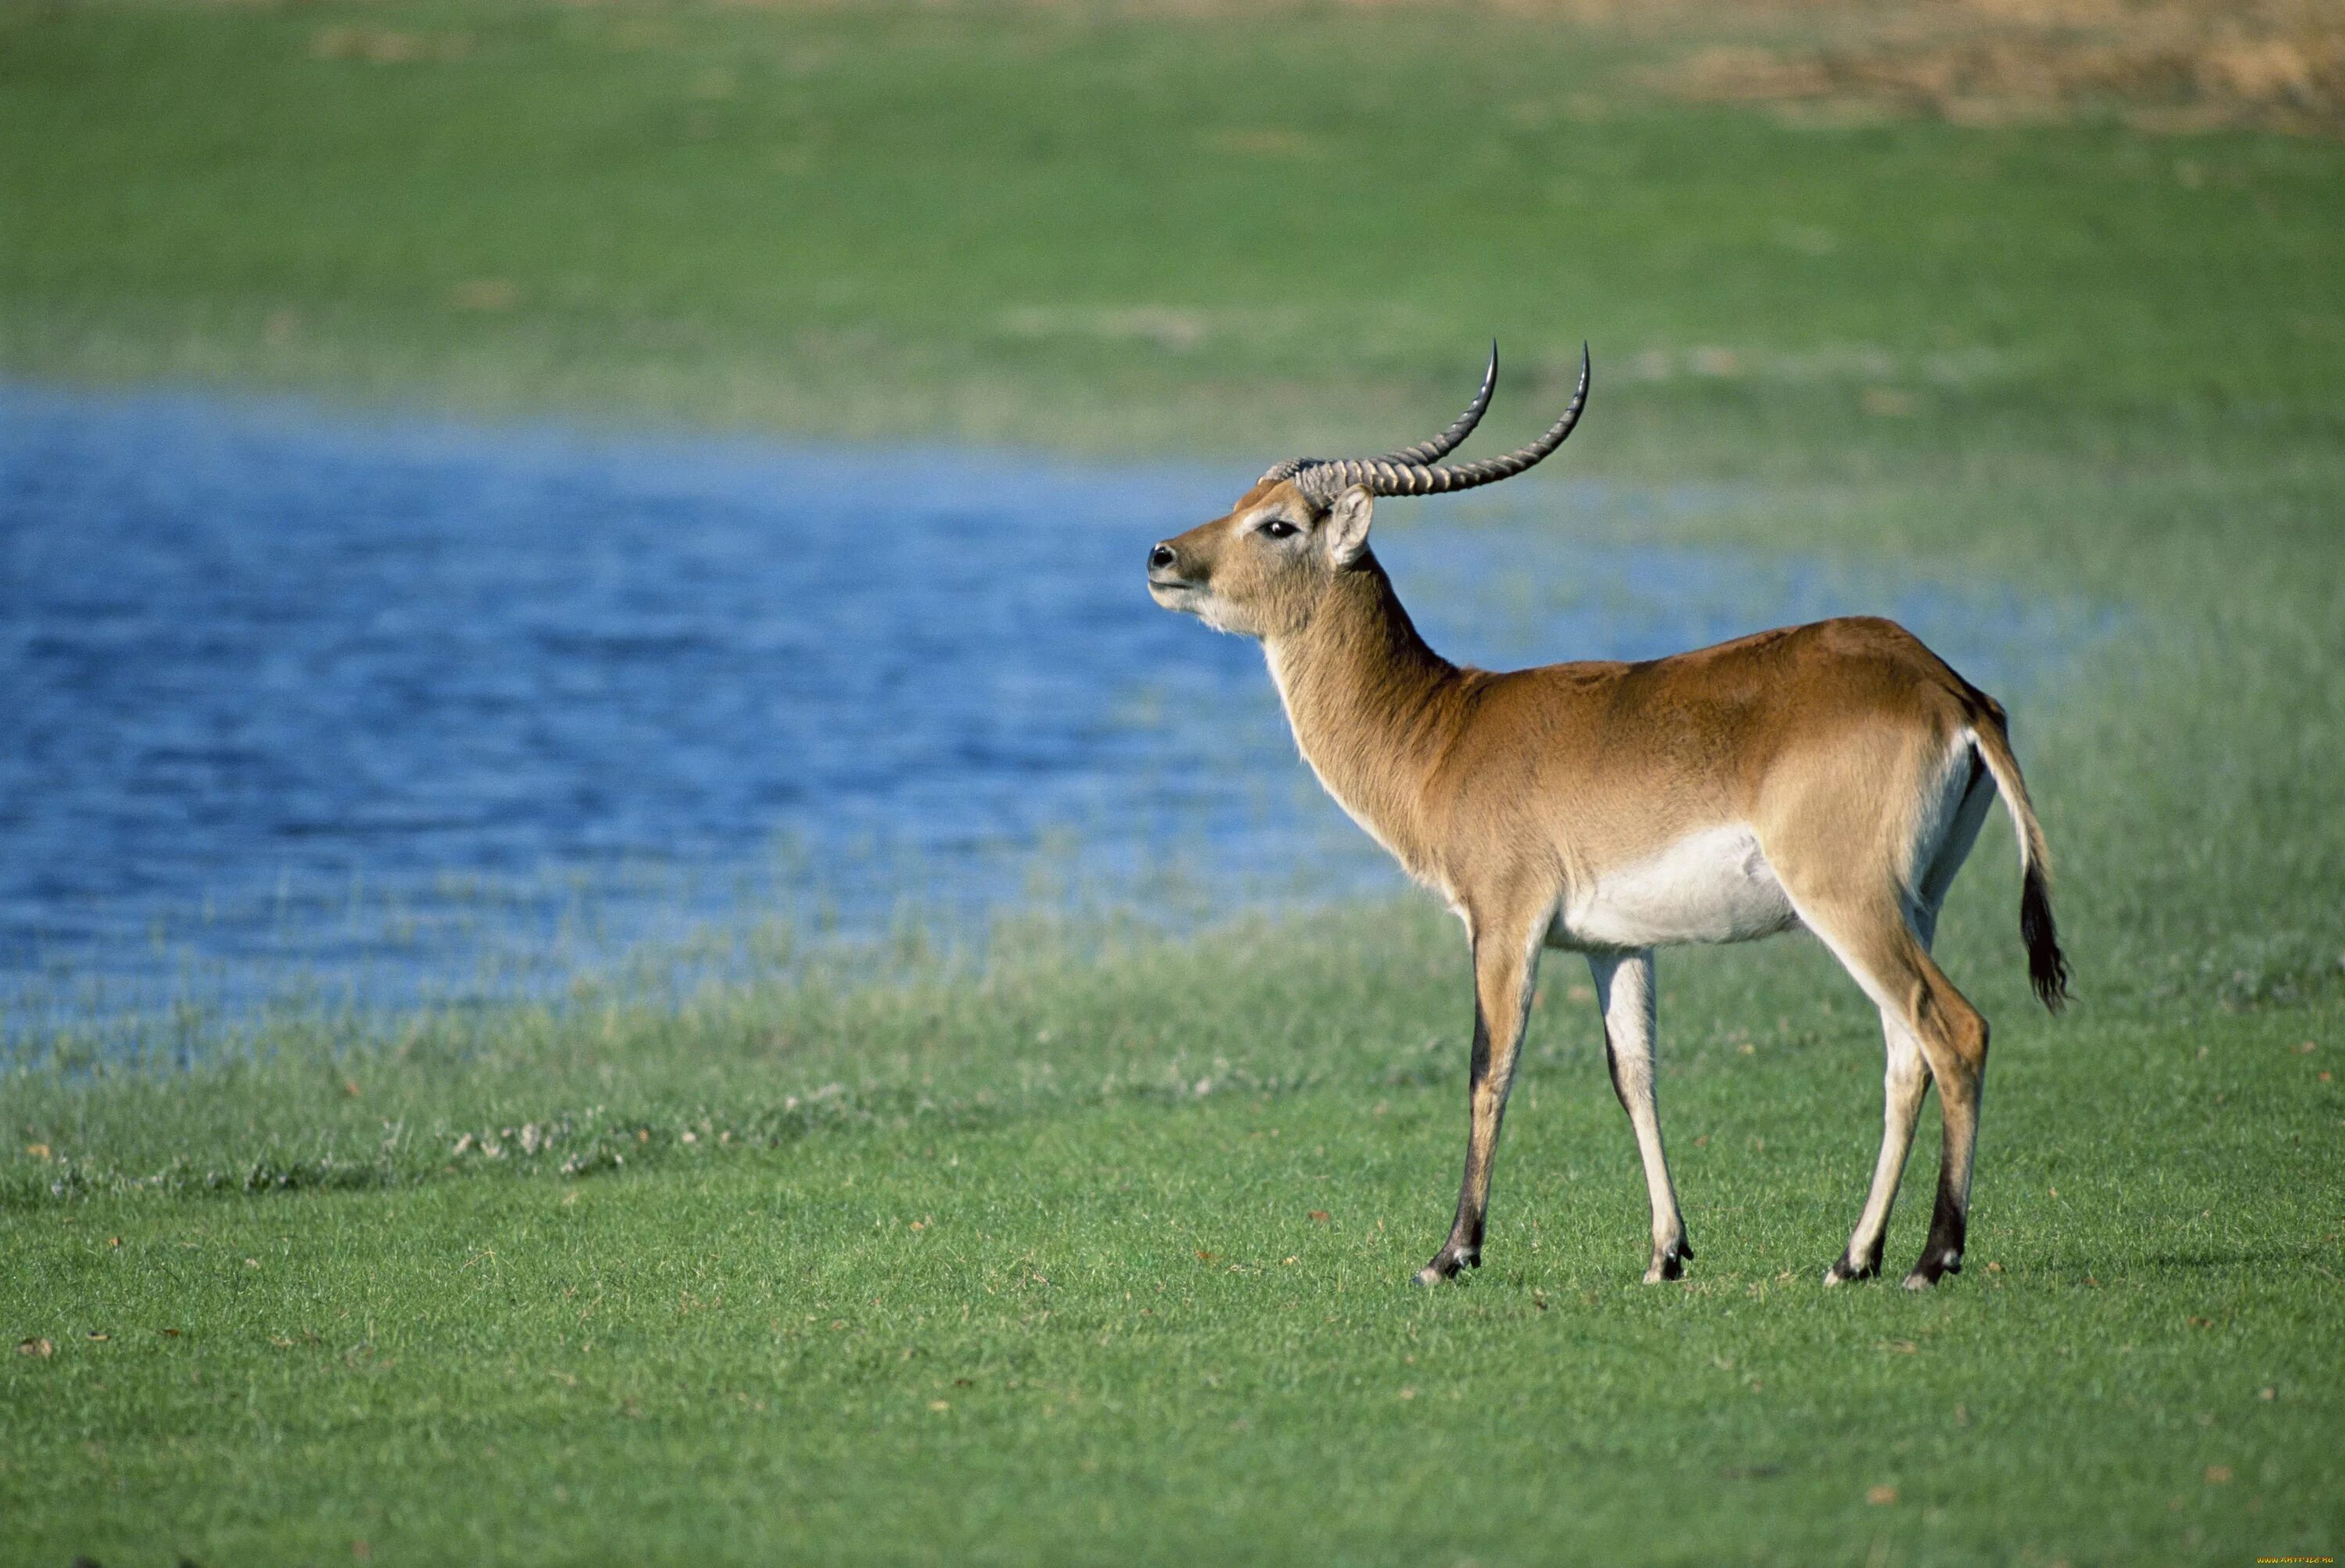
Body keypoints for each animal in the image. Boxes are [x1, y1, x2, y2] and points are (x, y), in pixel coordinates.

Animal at [1144, 342, 2064, 1284]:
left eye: (1278, 524)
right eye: (1243, 501)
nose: (1162, 556)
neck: (1444, 728)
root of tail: (1948, 688)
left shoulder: (1503, 920)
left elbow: (1489, 1068)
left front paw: (1452, 1252)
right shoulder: (1614, 943)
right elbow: (1634, 1074)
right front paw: (1667, 1252)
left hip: (1848, 900)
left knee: (1955, 1030)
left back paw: (1933, 1256)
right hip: (1915, 902)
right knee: (1904, 1053)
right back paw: (1854, 1258)